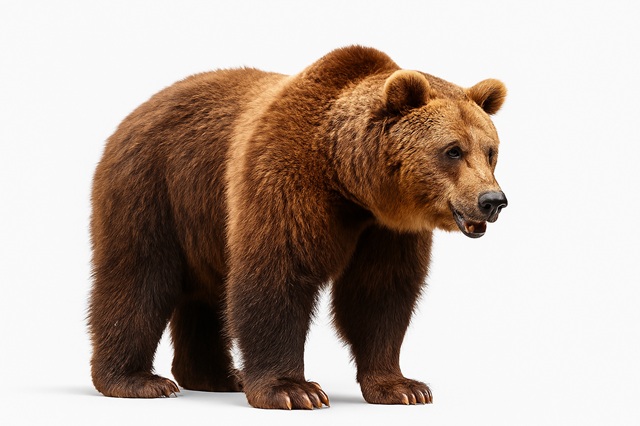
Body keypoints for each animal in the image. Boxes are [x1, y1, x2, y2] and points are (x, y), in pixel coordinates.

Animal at [88, 45, 508, 410]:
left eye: (490, 151)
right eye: (452, 150)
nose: (492, 201)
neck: (347, 180)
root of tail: (135, 111)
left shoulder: (387, 229)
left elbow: (379, 292)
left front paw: (404, 387)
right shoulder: (285, 180)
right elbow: (278, 275)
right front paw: (293, 390)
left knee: (205, 296)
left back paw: (217, 377)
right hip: (155, 188)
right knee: (138, 278)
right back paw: (138, 380)